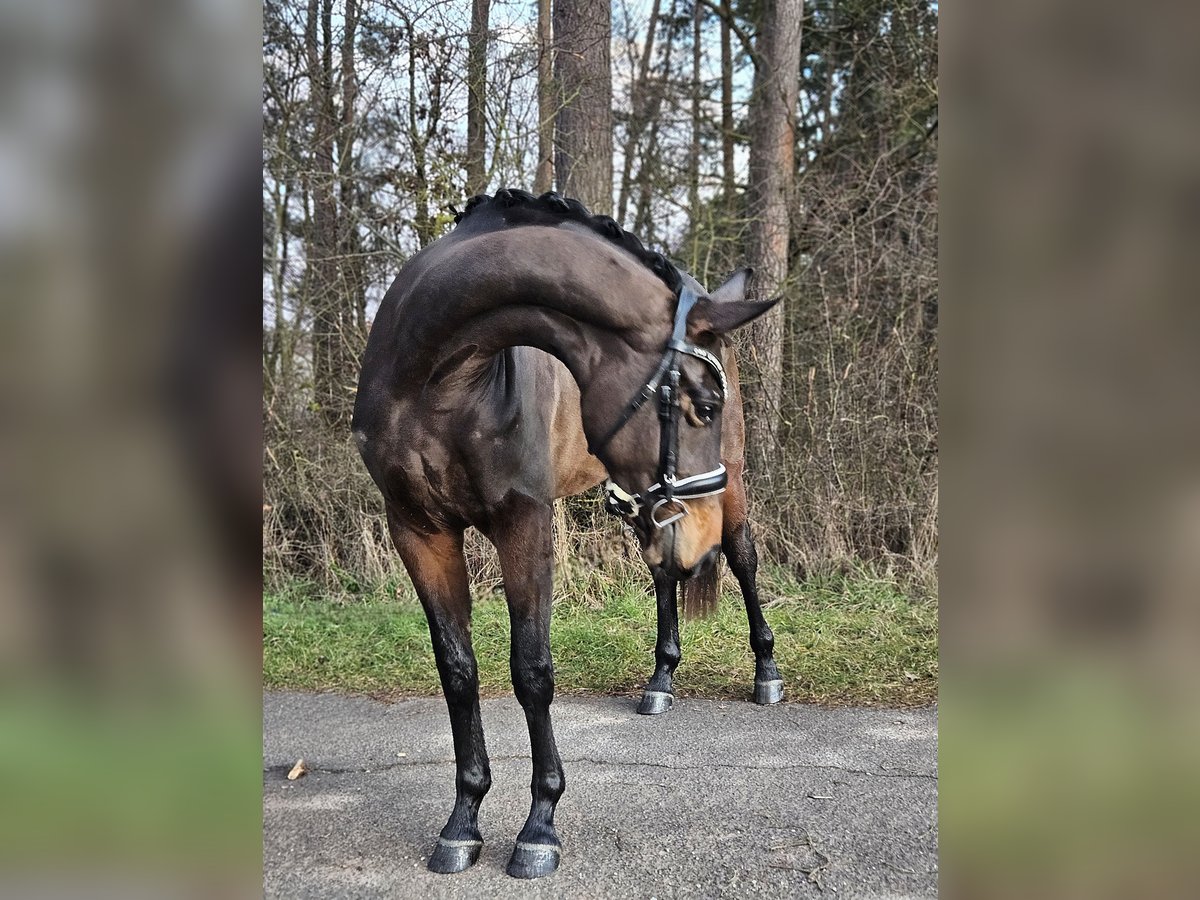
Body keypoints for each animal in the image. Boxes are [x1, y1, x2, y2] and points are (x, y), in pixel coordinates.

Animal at [350, 192, 782, 883]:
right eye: (701, 405)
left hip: (730, 487)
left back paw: (766, 672)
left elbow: (531, 671)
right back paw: (661, 681)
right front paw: (462, 820)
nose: (701, 543)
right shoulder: (417, 530)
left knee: (743, 560)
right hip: (643, 504)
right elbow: (457, 671)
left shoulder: (524, 522)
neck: (437, 383)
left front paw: (539, 826)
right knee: (664, 574)